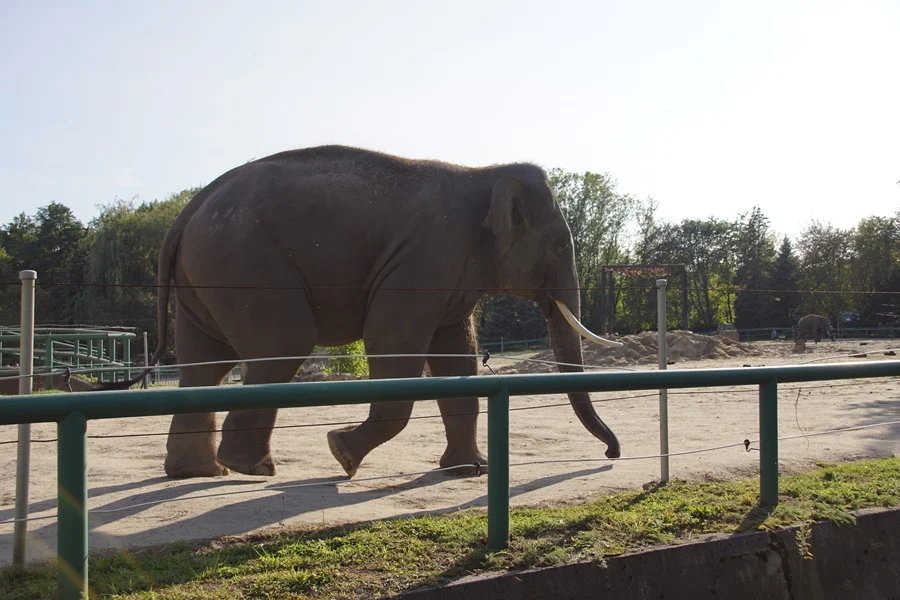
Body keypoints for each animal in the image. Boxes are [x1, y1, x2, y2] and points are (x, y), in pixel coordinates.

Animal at [102, 145, 623, 479]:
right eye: (559, 245)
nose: (611, 452)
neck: (484, 172)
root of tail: (187, 211)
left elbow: (455, 353)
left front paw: (467, 471)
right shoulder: (423, 261)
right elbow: (392, 340)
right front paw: (341, 453)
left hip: (205, 276)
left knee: (204, 364)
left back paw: (198, 472)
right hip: (243, 264)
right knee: (282, 344)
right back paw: (250, 468)